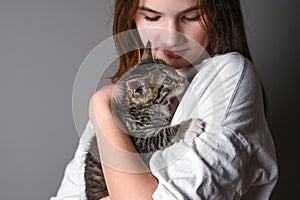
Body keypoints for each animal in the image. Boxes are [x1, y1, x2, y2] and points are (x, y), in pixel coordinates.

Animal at [83, 41, 203, 199]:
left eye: (172, 69)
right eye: (167, 80)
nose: (183, 79)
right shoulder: (141, 141)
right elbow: (163, 134)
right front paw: (188, 127)